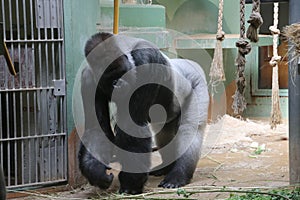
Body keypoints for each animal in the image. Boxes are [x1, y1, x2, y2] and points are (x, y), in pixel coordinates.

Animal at [77, 32, 209, 194]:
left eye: (122, 72)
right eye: (110, 78)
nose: (119, 84)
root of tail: (190, 63)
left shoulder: (145, 61)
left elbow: (133, 125)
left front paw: (130, 185)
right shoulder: (88, 79)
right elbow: (96, 128)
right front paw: (96, 173)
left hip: (197, 82)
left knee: (189, 130)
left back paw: (179, 174)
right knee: (165, 133)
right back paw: (167, 166)